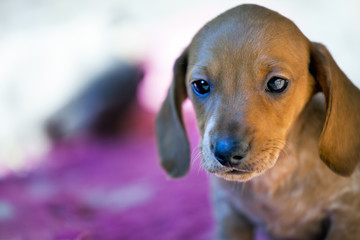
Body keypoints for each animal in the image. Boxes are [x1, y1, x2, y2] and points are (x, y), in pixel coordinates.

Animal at [156, 4, 360, 240]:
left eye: (277, 83)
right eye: (200, 85)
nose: (226, 153)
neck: (273, 181)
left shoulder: (346, 217)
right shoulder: (230, 216)